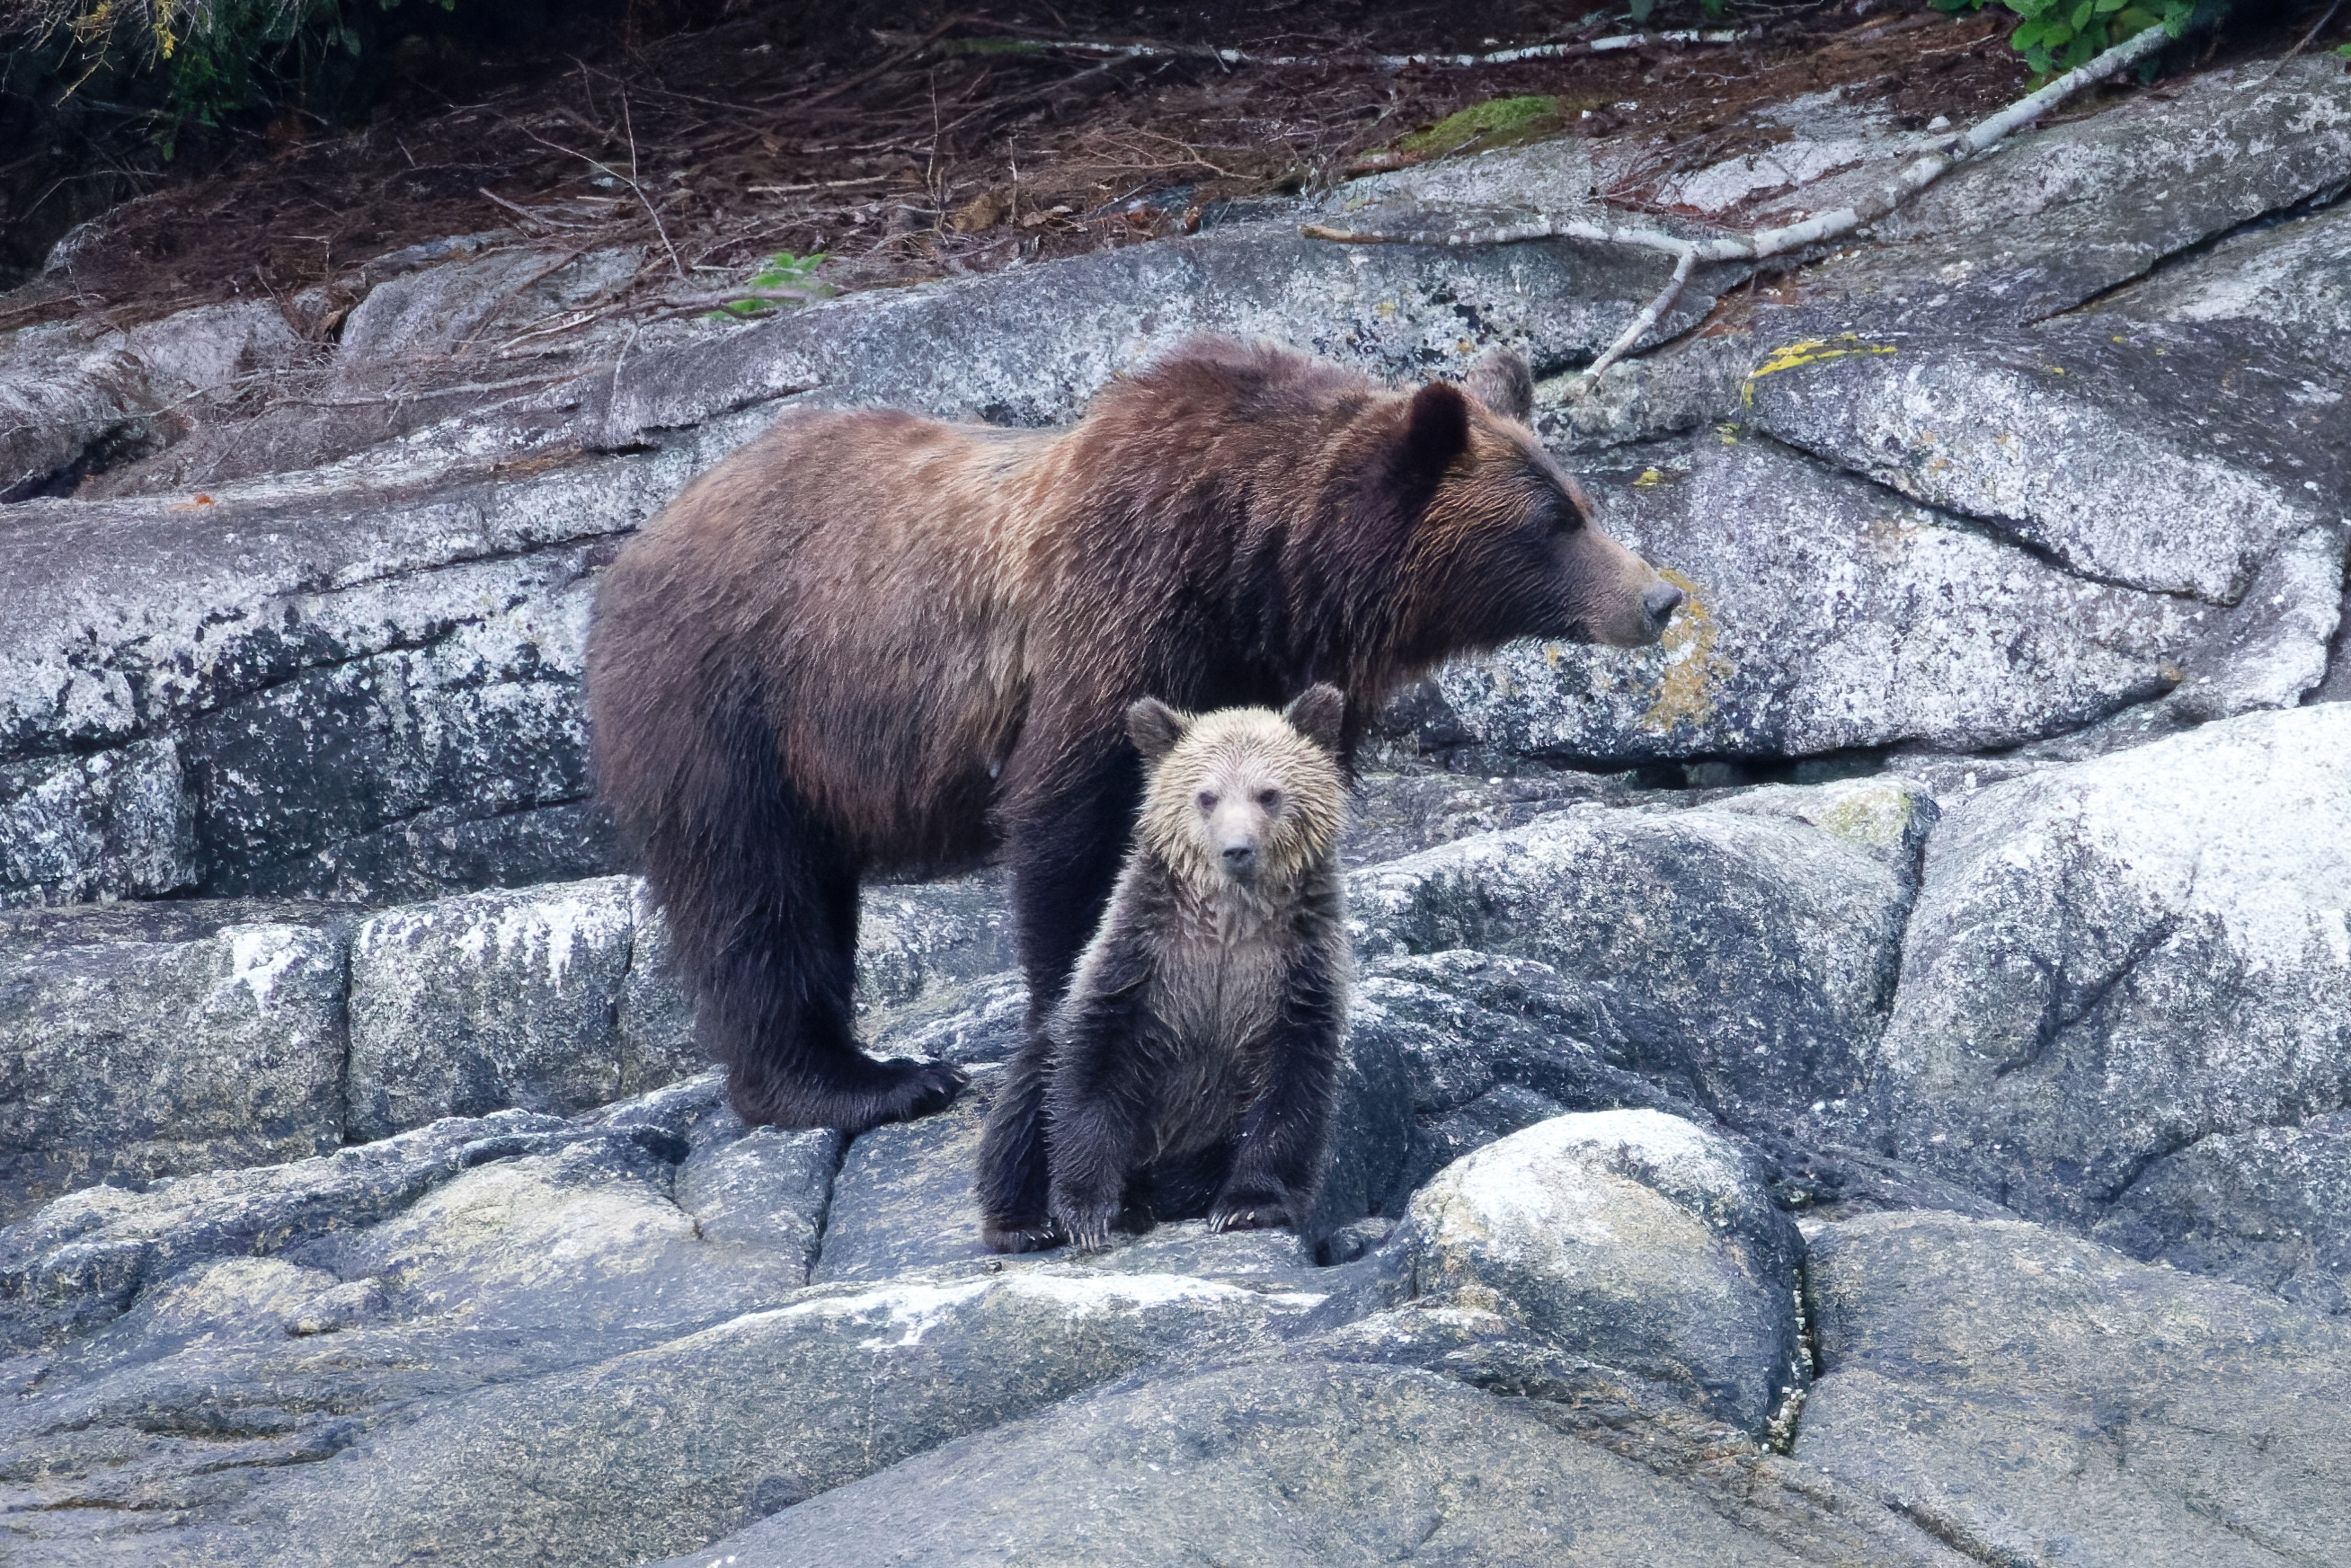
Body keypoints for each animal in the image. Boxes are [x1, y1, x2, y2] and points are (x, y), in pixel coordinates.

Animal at [585, 335, 1683, 1135]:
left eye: (1580, 499)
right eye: (1554, 520)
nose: (1660, 596)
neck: (1263, 570)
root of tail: (640, 543)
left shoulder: (1282, 681)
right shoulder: (1119, 615)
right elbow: (1074, 830)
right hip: (734, 700)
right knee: (754, 891)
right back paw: (866, 1079)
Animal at [977, 685, 1353, 1253]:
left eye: (1268, 793)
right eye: (1207, 796)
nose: (1237, 849)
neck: (1229, 926)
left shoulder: (1294, 974)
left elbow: (1290, 1090)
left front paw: (1247, 1205)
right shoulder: (1142, 961)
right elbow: (1090, 1072)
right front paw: (1084, 1210)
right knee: (1025, 1092)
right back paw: (1023, 1223)